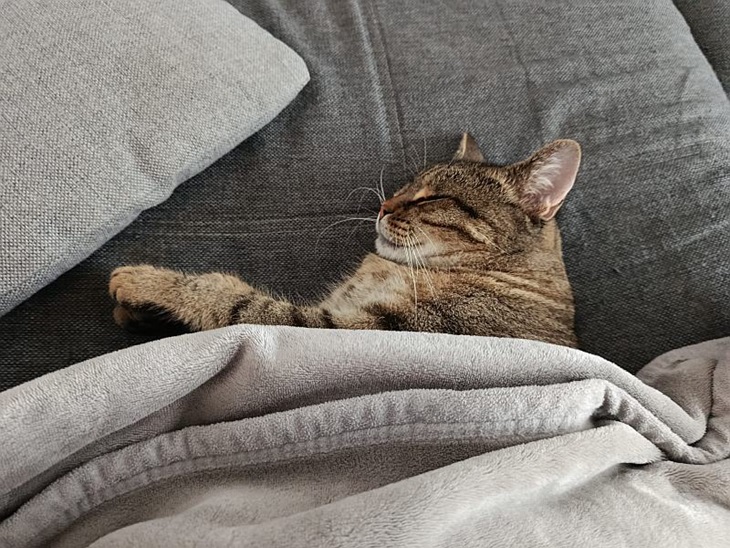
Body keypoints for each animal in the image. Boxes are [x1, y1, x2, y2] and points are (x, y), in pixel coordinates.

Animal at [110, 133, 580, 347]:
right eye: (408, 185)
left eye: (434, 197)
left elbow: (234, 300)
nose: (384, 205)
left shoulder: (357, 329)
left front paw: (149, 284)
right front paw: (140, 315)